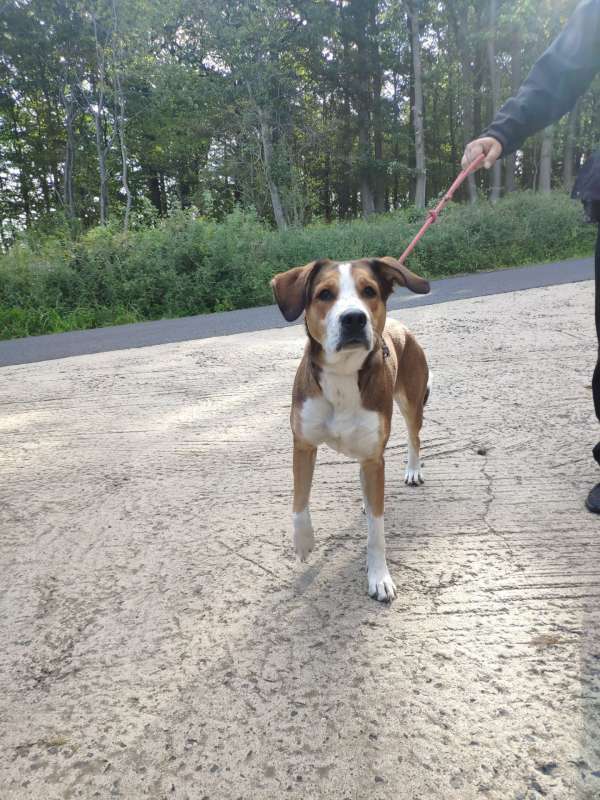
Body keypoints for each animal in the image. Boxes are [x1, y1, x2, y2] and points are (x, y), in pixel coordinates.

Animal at [271, 257, 431, 602]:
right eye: (324, 294)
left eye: (369, 291)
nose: (354, 318)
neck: (343, 374)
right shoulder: (303, 444)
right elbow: (299, 501)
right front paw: (303, 542)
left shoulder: (373, 458)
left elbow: (376, 532)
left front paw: (379, 577)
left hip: (411, 403)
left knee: (414, 437)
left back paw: (412, 470)